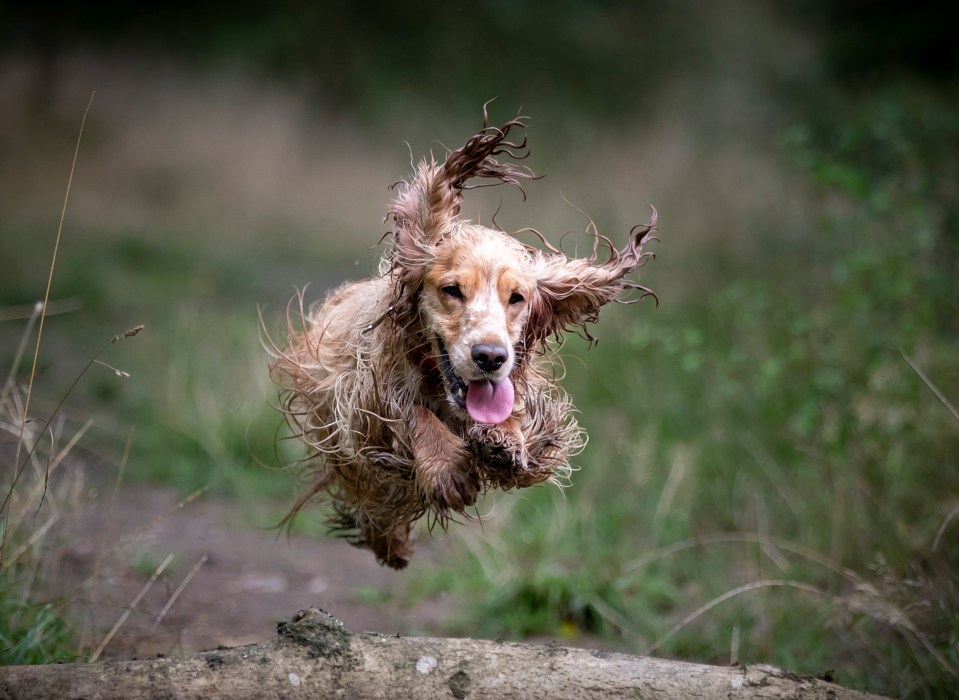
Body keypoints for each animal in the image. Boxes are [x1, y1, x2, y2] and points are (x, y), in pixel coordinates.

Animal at [272, 113, 660, 568]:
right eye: (453, 290)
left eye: (517, 297)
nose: (491, 356)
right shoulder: (359, 404)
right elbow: (407, 412)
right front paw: (446, 466)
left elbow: (514, 418)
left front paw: (503, 441)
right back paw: (390, 543)